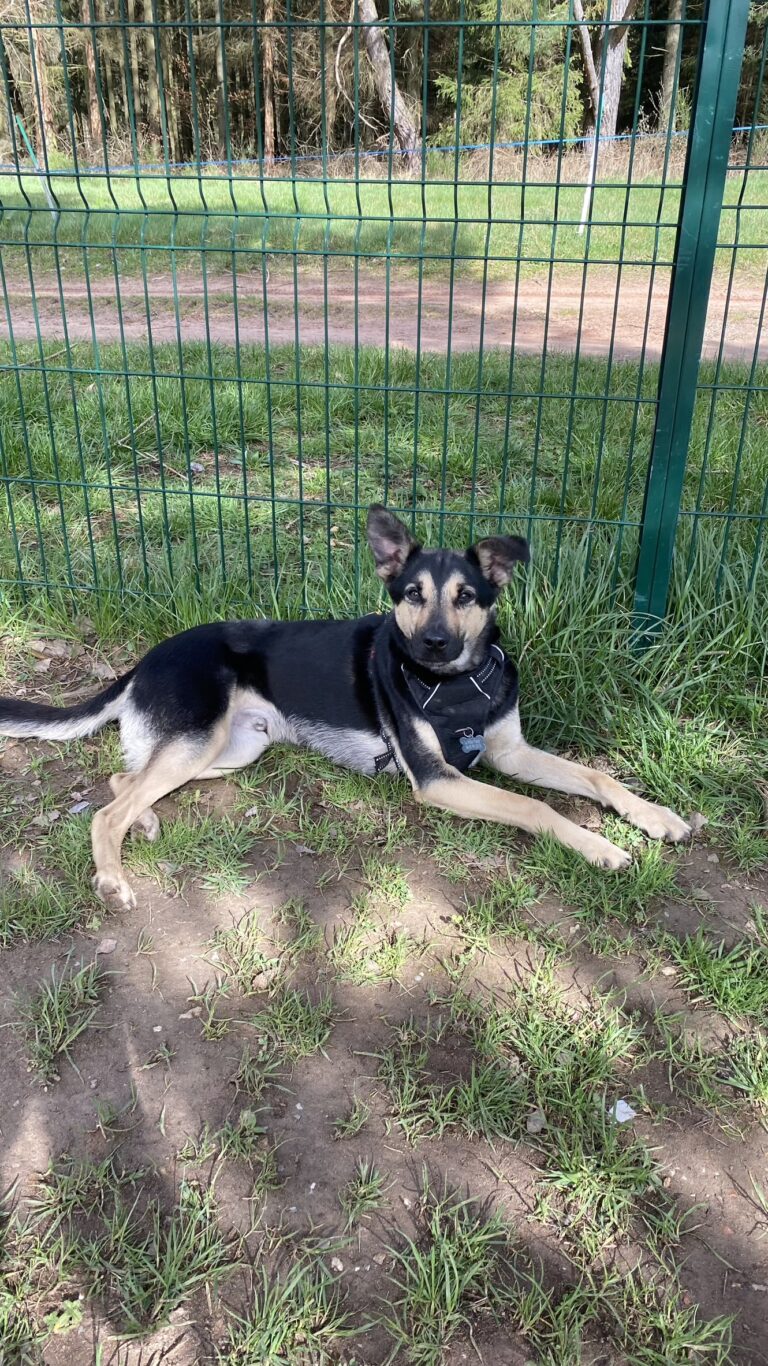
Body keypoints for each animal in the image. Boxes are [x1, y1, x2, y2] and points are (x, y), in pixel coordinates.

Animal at [0, 505, 688, 907]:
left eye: (467, 596)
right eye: (412, 594)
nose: (433, 643)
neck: (456, 684)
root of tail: (145, 659)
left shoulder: (510, 751)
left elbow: (596, 776)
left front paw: (657, 817)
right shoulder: (440, 778)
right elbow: (535, 806)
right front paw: (601, 848)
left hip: (234, 748)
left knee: (124, 780)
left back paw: (142, 820)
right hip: (200, 738)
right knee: (106, 809)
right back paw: (114, 876)